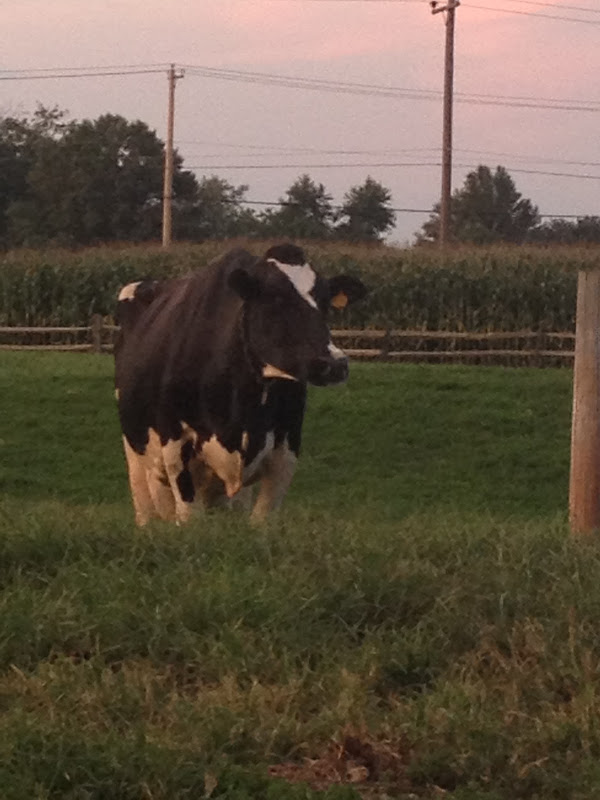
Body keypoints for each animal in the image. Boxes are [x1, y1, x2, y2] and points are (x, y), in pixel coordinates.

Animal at [112, 247, 366, 528]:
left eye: (324, 302)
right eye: (276, 299)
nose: (335, 363)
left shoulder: (286, 448)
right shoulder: (175, 444)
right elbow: (190, 518)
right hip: (138, 460)